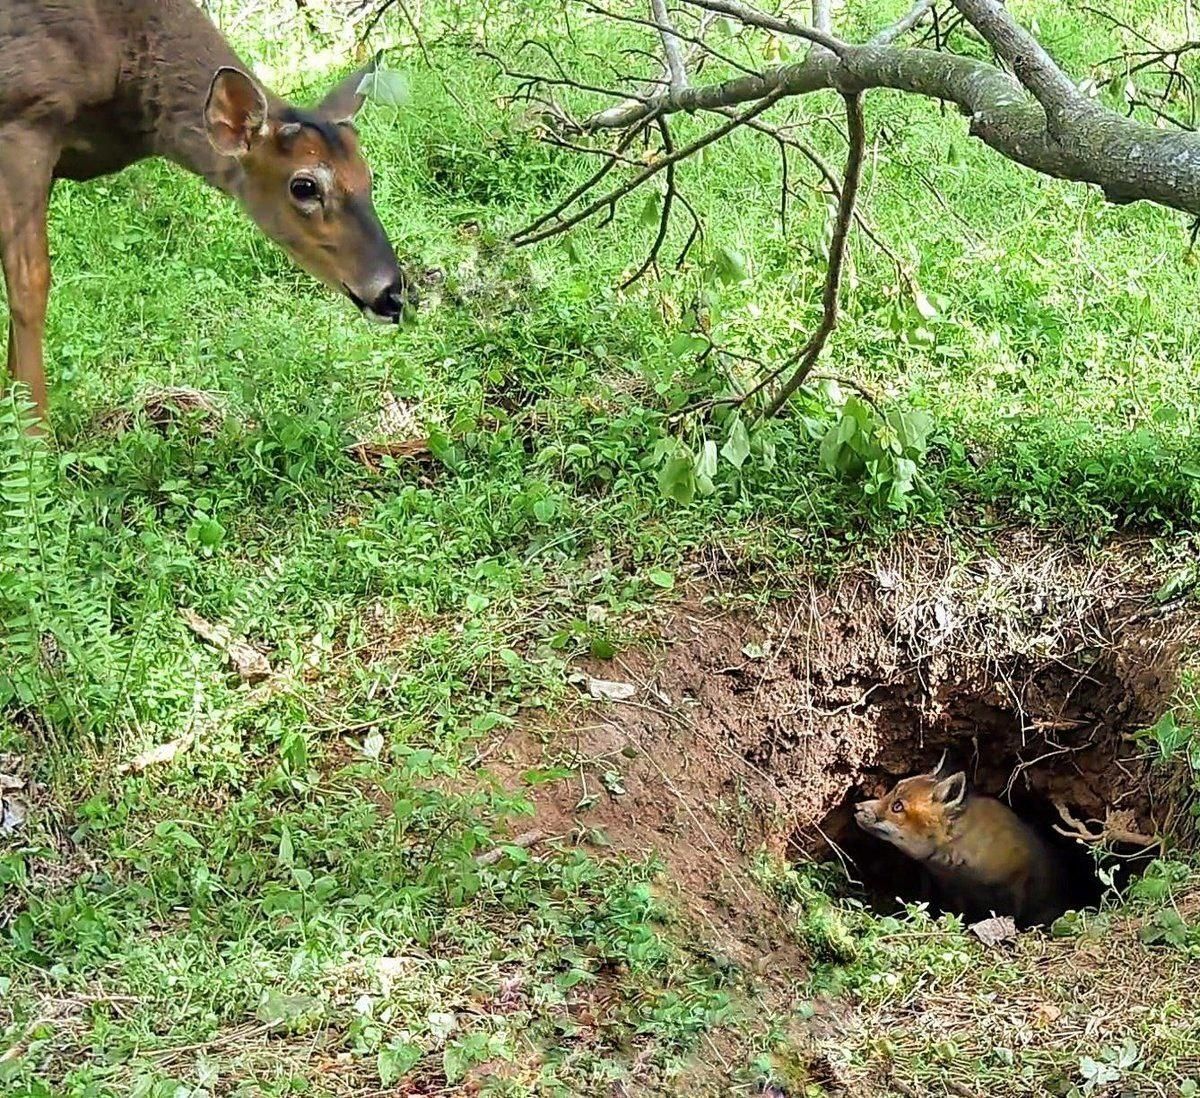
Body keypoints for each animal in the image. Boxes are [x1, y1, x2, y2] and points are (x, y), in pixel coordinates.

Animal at [0, 0, 415, 425]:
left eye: (368, 175)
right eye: (304, 186)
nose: (393, 294)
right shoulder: (24, 119)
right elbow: (30, 285)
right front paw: (33, 431)